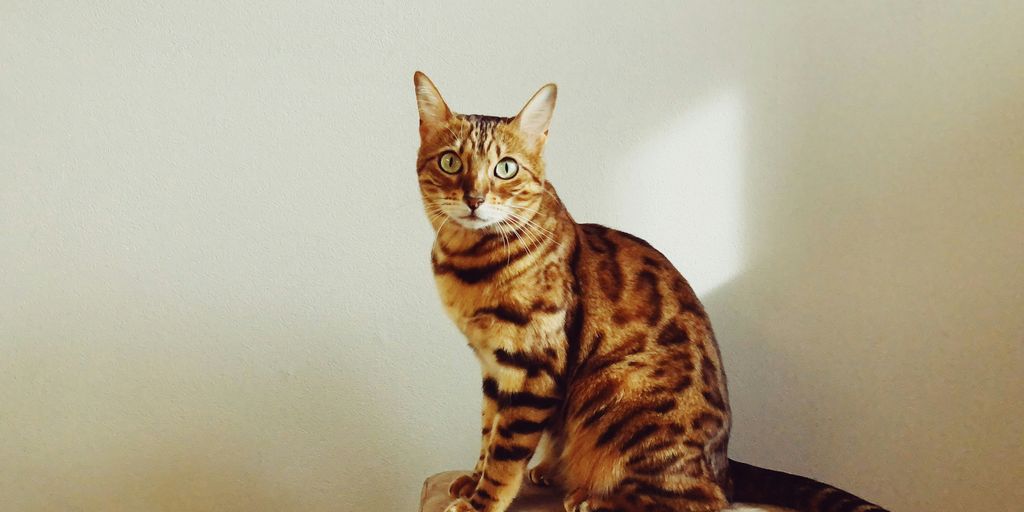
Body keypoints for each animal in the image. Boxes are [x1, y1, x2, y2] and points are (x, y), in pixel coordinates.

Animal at [413, 71, 888, 512]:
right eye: (450, 163)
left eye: (506, 168)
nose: (474, 199)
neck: (468, 263)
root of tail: (724, 463)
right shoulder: (493, 365)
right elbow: (487, 430)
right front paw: (470, 480)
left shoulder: (531, 366)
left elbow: (504, 452)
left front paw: (480, 501)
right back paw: (554, 470)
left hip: (620, 395)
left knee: (704, 498)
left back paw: (591, 496)